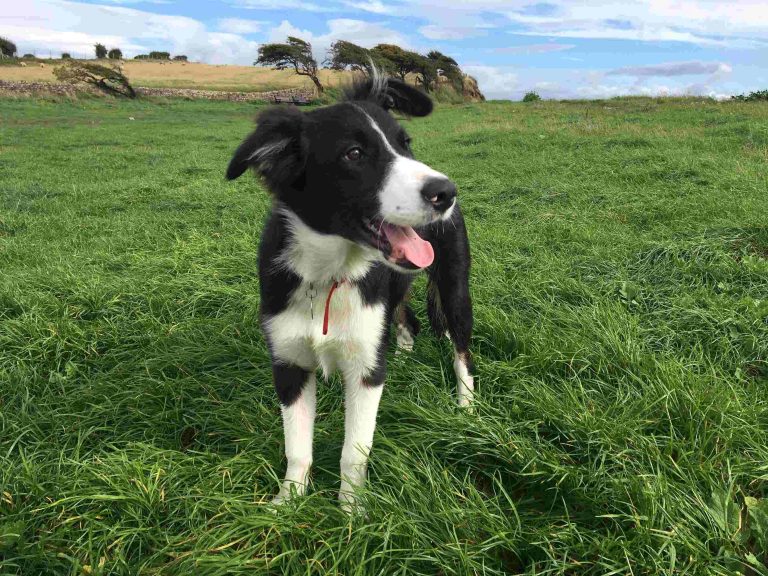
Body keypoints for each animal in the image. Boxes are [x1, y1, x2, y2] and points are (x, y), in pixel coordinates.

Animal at [225, 75, 472, 508]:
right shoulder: (288, 363)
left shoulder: (364, 371)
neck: (327, 275)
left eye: (405, 143)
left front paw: (352, 511)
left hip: (454, 284)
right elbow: (297, 448)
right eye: (354, 154)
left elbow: (353, 451)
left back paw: (468, 407)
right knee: (408, 319)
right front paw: (286, 503)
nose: (445, 192)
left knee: (462, 349)